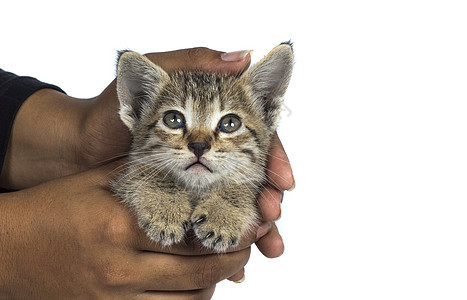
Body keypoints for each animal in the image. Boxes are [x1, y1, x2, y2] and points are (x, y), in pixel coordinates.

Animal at [112, 42, 294, 253]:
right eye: (173, 119)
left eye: (230, 123)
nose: (199, 146)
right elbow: (141, 173)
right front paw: (166, 207)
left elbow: (243, 185)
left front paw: (222, 213)